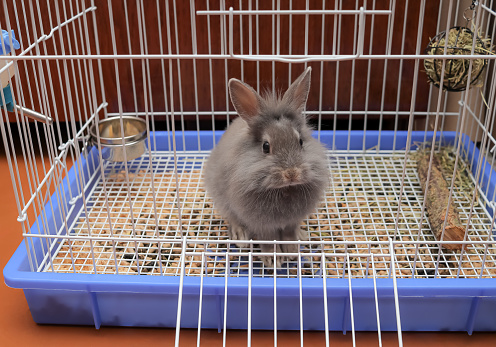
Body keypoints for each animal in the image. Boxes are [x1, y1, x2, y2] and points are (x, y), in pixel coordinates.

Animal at [205, 68, 330, 270]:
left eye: (300, 141)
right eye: (265, 146)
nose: (292, 173)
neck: (285, 189)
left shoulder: (291, 221)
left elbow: (289, 234)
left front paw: (292, 251)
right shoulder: (261, 223)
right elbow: (267, 239)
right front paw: (273, 259)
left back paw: (302, 235)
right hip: (222, 199)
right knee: (232, 218)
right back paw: (240, 237)